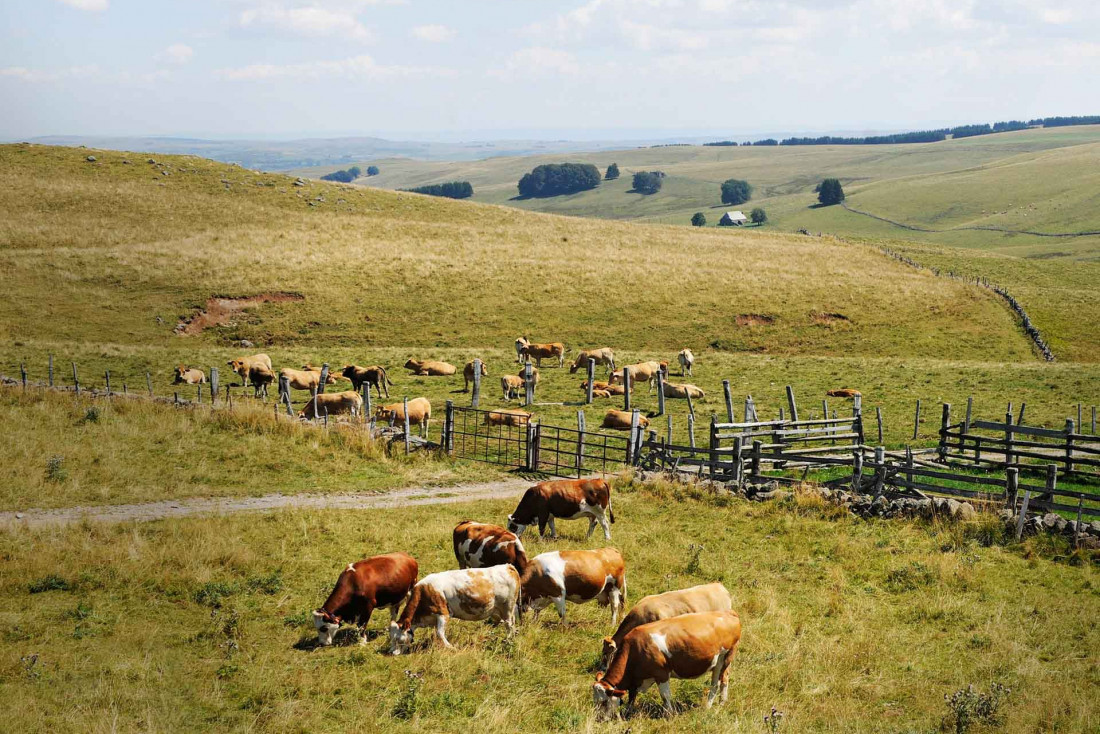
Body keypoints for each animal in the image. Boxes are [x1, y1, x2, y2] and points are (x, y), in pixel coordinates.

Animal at [389, 563, 521, 655]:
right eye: (390, 638)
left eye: (397, 638)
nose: (391, 652)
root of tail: (508, 566)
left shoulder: (443, 613)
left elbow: (440, 633)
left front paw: (451, 647)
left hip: (507, 607)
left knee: (509, 625)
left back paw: (507, 641)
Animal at [589, 607, 743, 721]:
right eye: (595, 700)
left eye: (604, 702)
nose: (599, 719)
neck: (634, 648)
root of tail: (728, 613)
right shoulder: (637, 680)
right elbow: (632, 697)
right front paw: (628, 712)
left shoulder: (661, 674)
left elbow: (665, 696)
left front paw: (669, 715)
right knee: (720, 681)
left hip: (725, 658)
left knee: (719, 682)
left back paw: (713, 705)